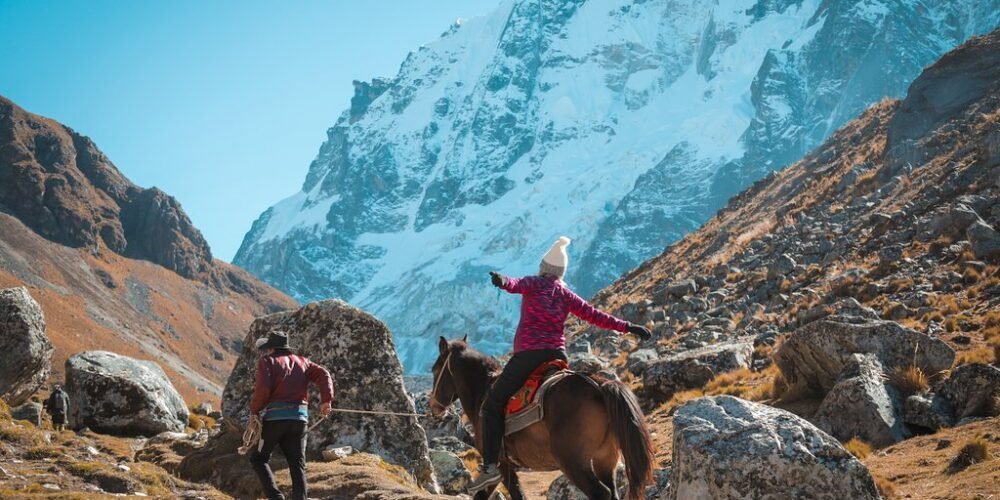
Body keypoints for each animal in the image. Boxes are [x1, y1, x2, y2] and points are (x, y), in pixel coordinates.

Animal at [428, 336, 656, 500]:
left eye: (435, 369)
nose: (434, 406)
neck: (482, 392)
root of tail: (599, 387)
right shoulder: (506, 466)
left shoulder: (499, 464)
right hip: (604, 459)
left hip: (574, 462)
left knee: (601, 493)